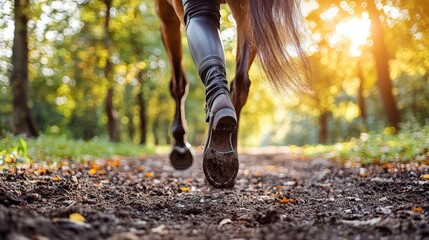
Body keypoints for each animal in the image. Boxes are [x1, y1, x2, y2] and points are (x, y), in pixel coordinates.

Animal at [155, 0, 308, 188]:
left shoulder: (165, 12)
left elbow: (178, 84)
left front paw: (180, 147)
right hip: (245, 12)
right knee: (240, 83)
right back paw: (226, 147)